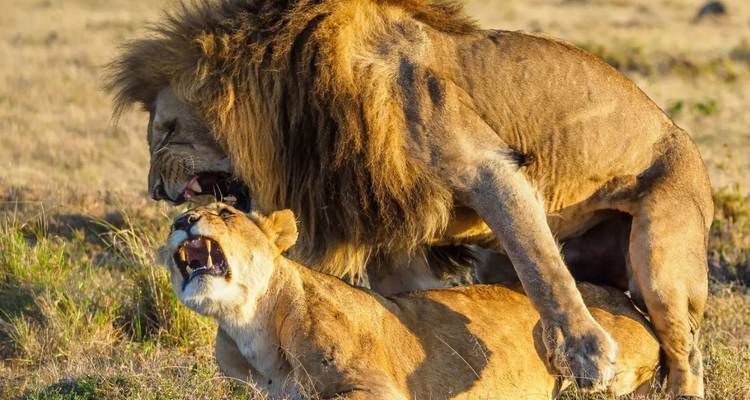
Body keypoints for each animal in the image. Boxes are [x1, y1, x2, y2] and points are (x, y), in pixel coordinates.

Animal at [162, 203, 660, 399]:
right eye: (174, 221)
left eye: (226, 213)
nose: (183, 220)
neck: (252, 328)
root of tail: (624, 299)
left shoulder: (380, 389)